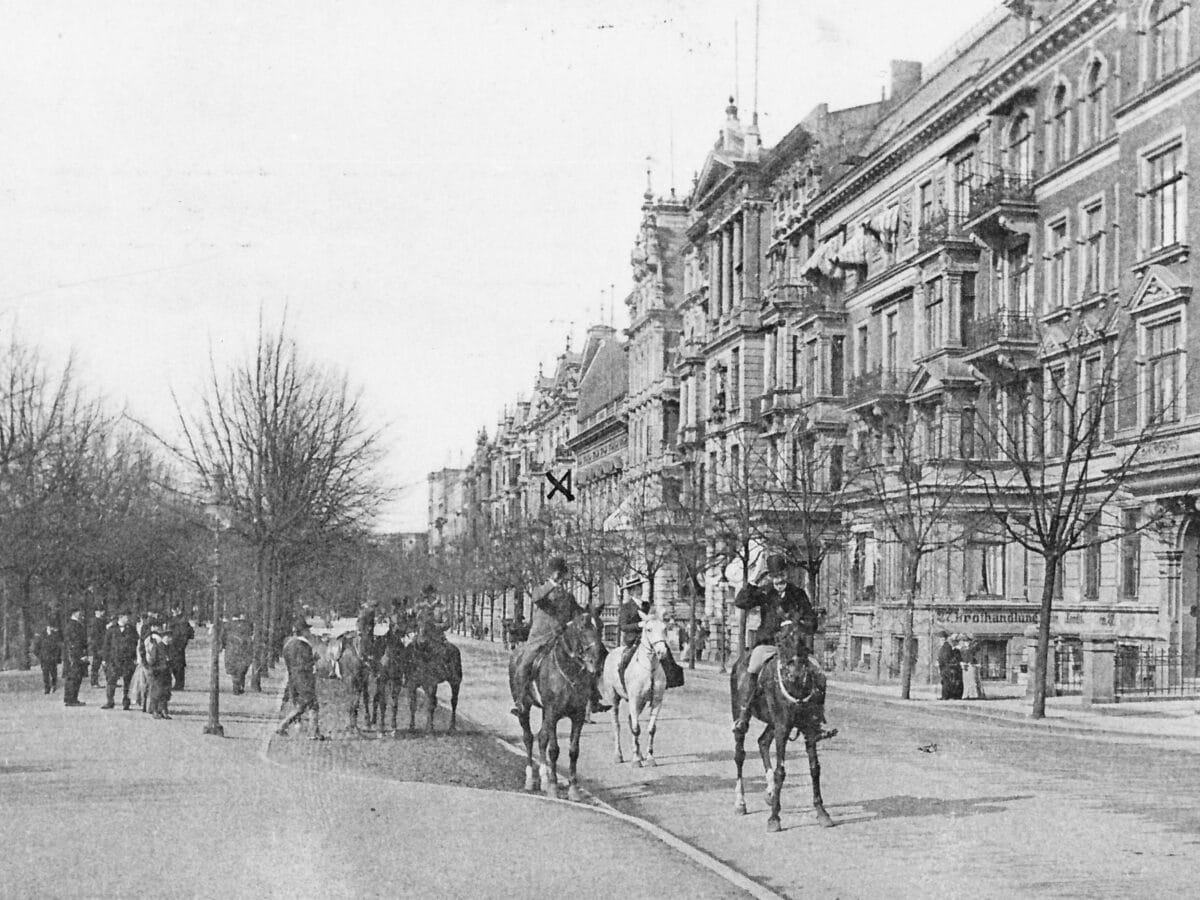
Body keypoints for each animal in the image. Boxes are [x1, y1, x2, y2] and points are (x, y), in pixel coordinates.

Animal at [508, 614, 604, 801]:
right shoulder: (553, 713)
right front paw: (553, 787)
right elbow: (554, 750)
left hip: (545, 712)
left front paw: (573, 789)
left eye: (601, 626)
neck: (569, 671)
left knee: (541, 738)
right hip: (525, 708)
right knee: (528, 738)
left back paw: (543, 779)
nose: (598, 658)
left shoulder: (578, 716)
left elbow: (574, 750)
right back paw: (531, 779)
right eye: (582, 628)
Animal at [600, 619, 676, 763]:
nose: (662, 651)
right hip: (614, 698)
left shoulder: (657, 701)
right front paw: (635, 760)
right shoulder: (634, 699)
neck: (649, 668)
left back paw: (639, 753)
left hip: (640, 703)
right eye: (648, 629)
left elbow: (651, 729)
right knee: (617, 725)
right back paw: (618, 755)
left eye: (665, 629)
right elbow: (636, 729)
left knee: (631, 720)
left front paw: (650, 757)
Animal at [724, 619, 840, 830]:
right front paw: (774, 818)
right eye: (782, 640)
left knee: (762, 742)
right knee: (739, 754)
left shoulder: (808, 730)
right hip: (742, 714)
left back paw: (770, 792)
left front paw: (822, 812)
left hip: (773, 724)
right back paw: (740, 802)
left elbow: (814, 768)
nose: (796, 674)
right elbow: (781, 771)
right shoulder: (783, 729)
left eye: (804, 640)